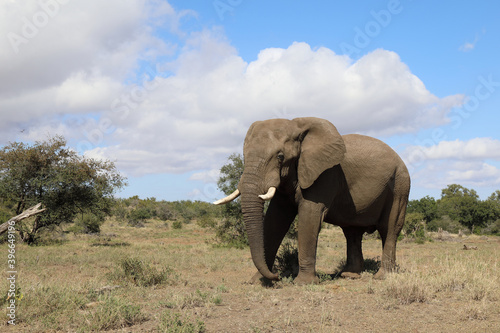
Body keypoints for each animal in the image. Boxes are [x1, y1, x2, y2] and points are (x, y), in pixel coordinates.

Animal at [215, 116, 410, 282]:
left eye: (280, 157)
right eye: (244, 156)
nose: (277, 276)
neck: (297, 127)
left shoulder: (325, 174)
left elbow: (309, 215)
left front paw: (303, 283)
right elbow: (274, 219)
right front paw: (258, 281)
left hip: (400, 185)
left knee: (389, 229)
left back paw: (382, 277)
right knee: (352, 232)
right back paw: (348, 275)